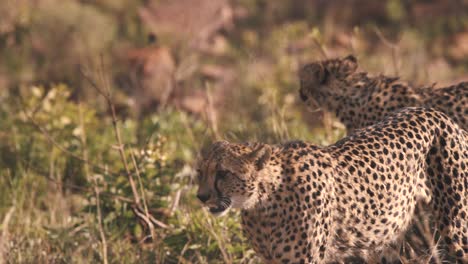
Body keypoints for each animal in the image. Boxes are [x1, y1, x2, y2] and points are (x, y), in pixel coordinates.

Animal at [197, 108, 468, 264]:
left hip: (456, 227)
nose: (201, 197)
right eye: (201, 172)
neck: (263, 202)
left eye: (222, 173)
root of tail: (433, 112)